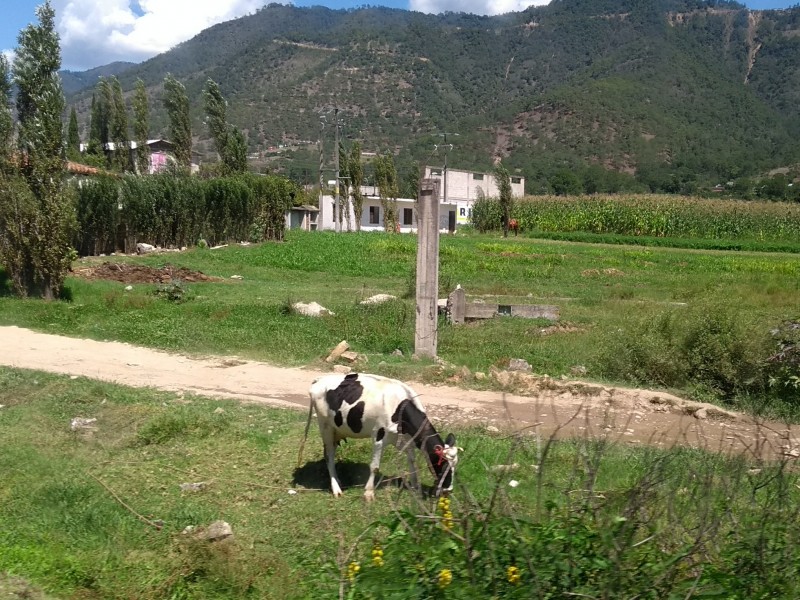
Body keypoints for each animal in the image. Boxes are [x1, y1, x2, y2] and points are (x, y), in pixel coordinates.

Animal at [298, 372, 462, 500]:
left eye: (455, 466)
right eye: (443, 466)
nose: (448, 491)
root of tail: (320, 379)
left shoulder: (407, 439)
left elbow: (412, 463)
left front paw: (416, 487)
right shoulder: (378, 436)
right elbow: (375, 467)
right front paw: (368, 493)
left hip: (336, 430)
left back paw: (338, 480)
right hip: (325, 426)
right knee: (329, 455)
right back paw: (336, 489)